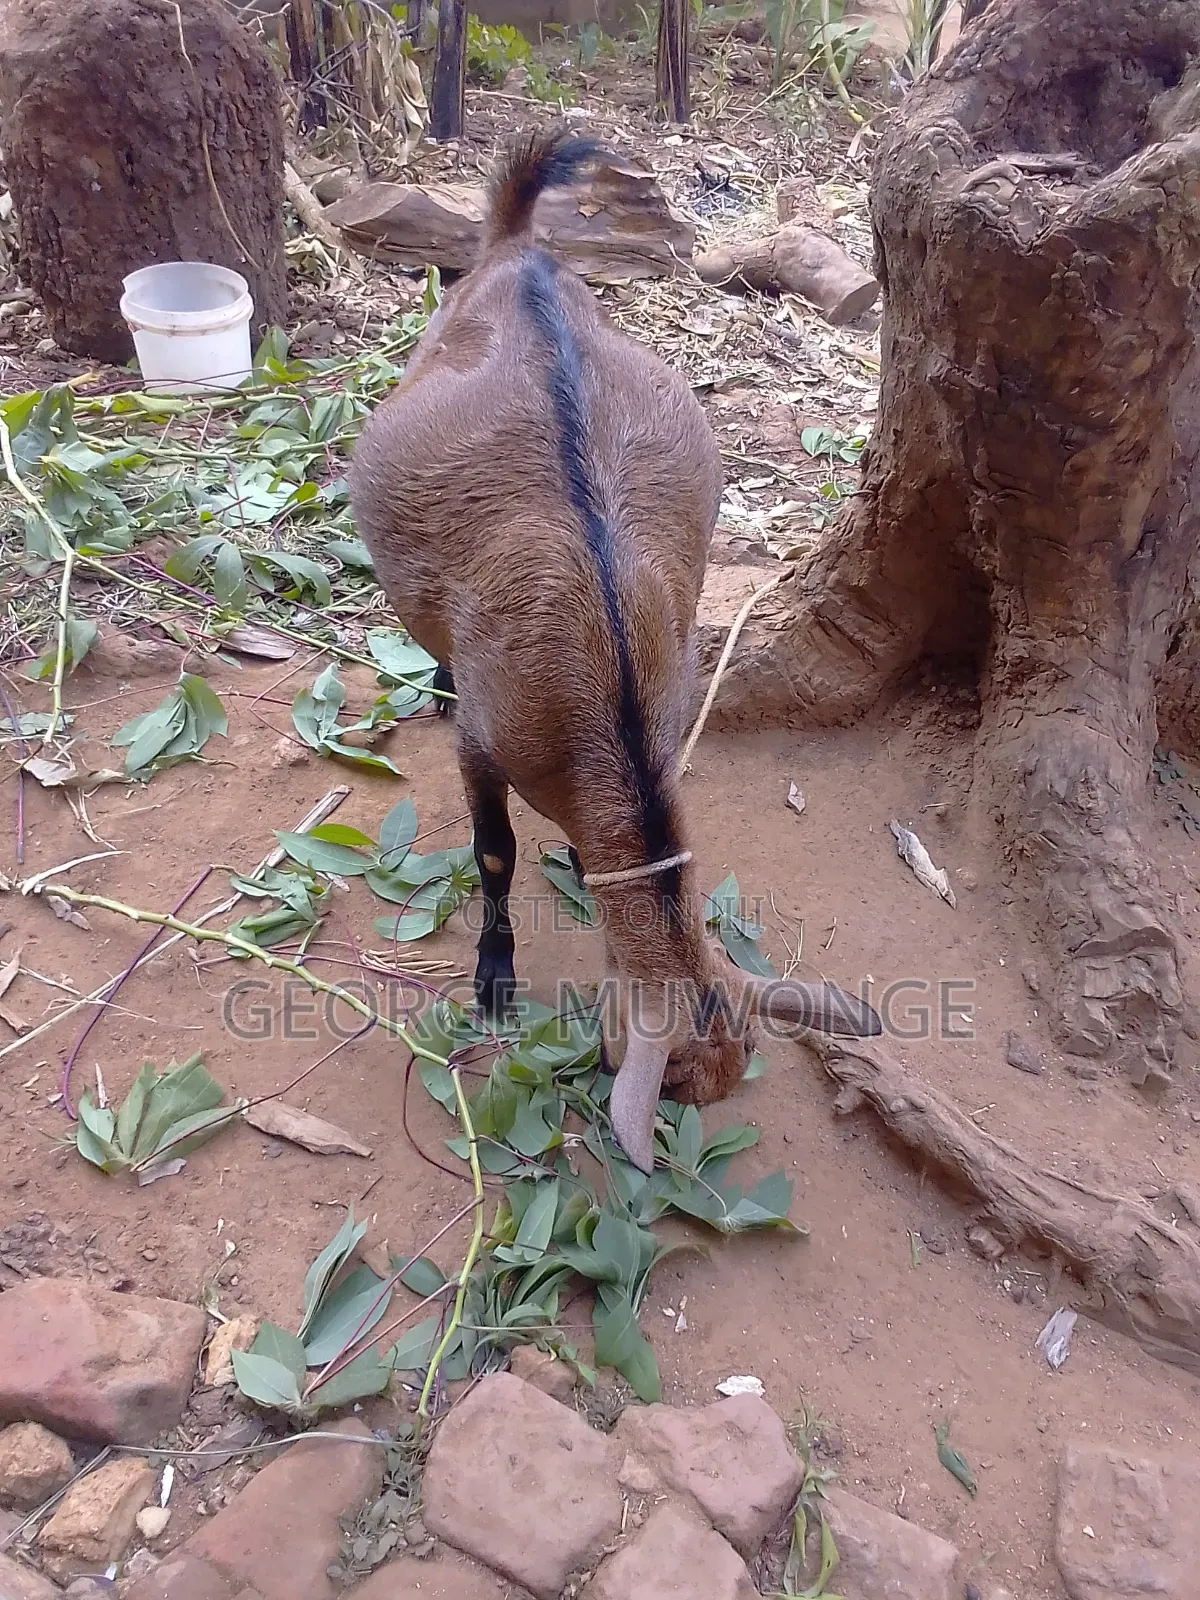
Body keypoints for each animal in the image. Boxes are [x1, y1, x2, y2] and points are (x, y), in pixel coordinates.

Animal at [349, 128, 881, 1173]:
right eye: (670, 1082)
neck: (609, 699)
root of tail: (520, 250)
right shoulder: (486, 740)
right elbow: (495, 852)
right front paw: (495, 975)